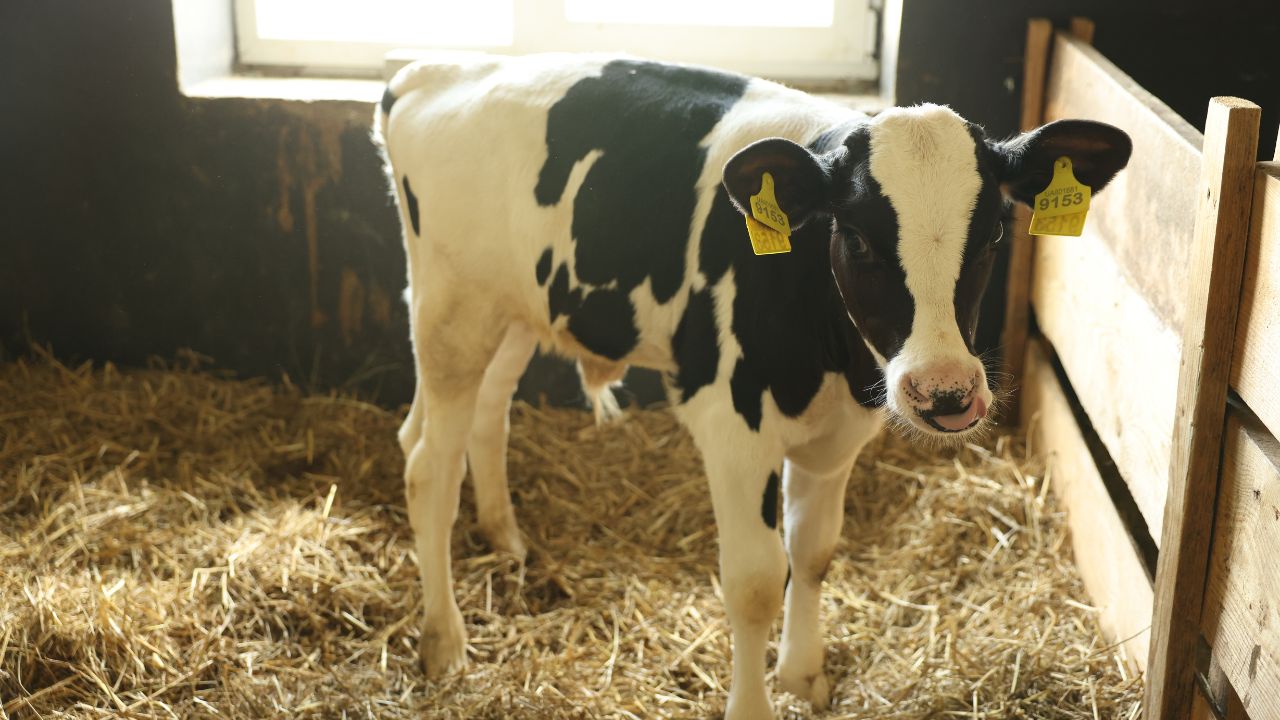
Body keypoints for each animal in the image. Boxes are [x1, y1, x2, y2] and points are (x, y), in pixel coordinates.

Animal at [374, 52, 1130, 719]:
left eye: (996, 234)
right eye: (857, 237)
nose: (944, 392)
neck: (827, 356)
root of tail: (432, 71)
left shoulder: (838, 433)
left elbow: (814, 551)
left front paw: (803, 676)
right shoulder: (732, 425)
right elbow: (757, 581)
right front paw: (755, 705)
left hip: (513, 311)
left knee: (481, 416)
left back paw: (505, 538)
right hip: (451, 315)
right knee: (425, 465)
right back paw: (444, 641)